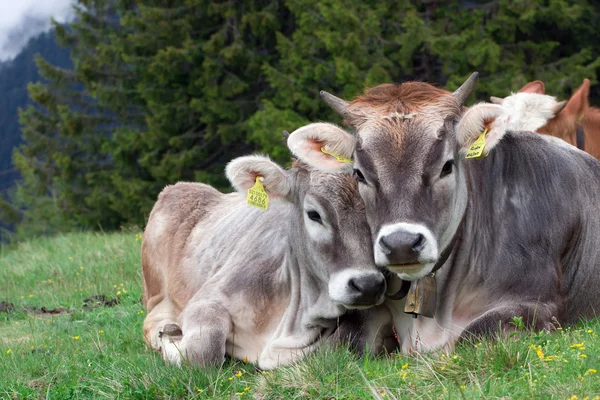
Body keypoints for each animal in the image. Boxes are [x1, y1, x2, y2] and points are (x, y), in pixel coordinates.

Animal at [141, 155, 390, 370]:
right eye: (314, 214)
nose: (368, 285)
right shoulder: (206, 299)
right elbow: (203, 351)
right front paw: (172, 342)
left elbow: (347, 341)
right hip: (157, 293)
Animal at [284, 72, 600, 354]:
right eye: (359, 173)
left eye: (447, 166)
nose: (401, 244)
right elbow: (340, 344)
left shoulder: (542, 304)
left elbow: (475, 333)